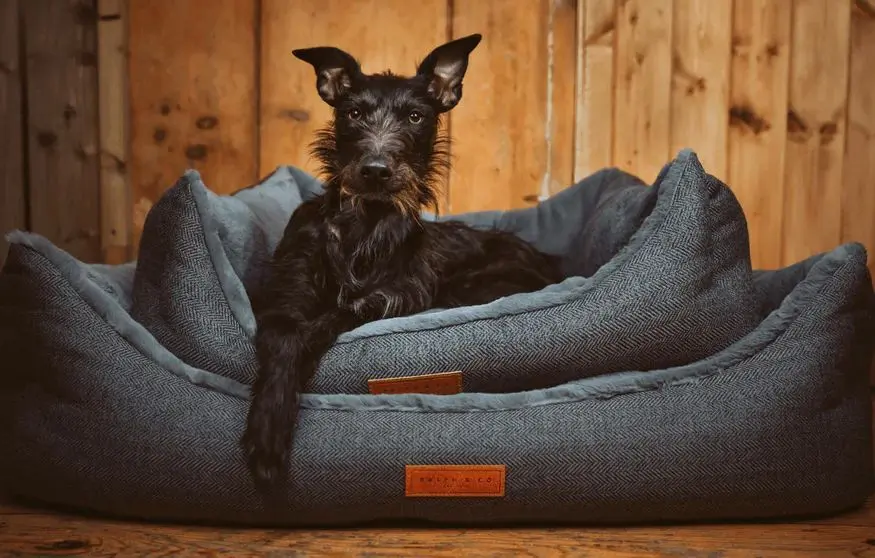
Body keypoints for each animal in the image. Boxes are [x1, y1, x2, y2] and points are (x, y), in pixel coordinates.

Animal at [243, 34, 564, 490]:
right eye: (353, 113)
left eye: (415, 116)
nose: (376, 170)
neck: (365, 223)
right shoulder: (287, 291)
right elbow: (286, 336)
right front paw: (268, 431)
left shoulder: (397, 295)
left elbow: (337, 314)